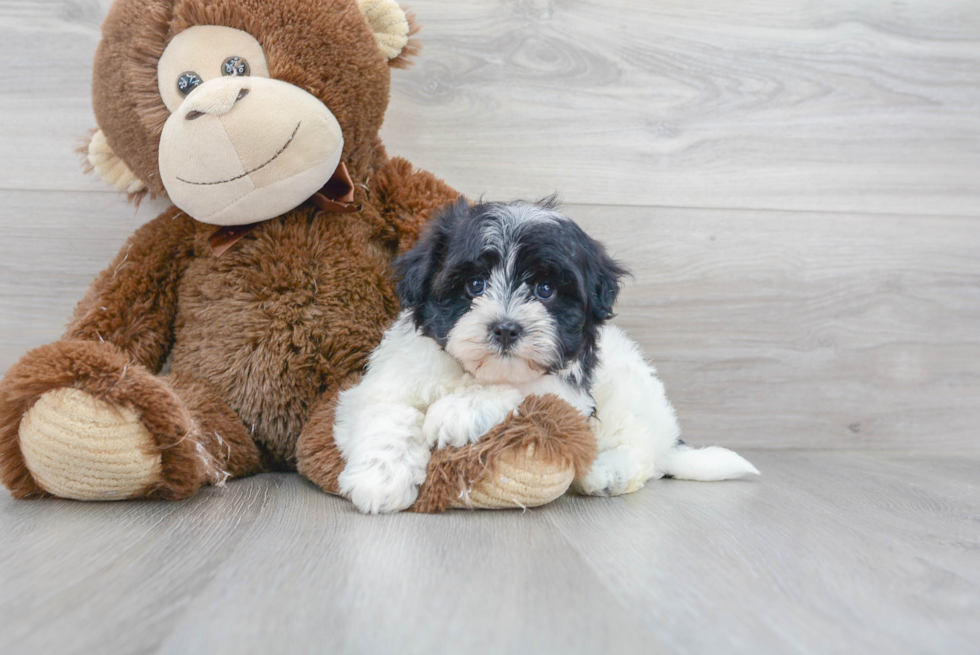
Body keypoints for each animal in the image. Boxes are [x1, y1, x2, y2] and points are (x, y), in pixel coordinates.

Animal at [332, 197, 756, 516]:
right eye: (475, 285)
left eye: (545, 290)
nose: (506, 328)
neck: (474, 372)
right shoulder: (391, 378)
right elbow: (387, 413)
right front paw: (381, 480)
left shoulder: (569, 390)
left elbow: (526, 390)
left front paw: (461, 410)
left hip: (630, 396)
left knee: (640, 450)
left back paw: (607, 473)